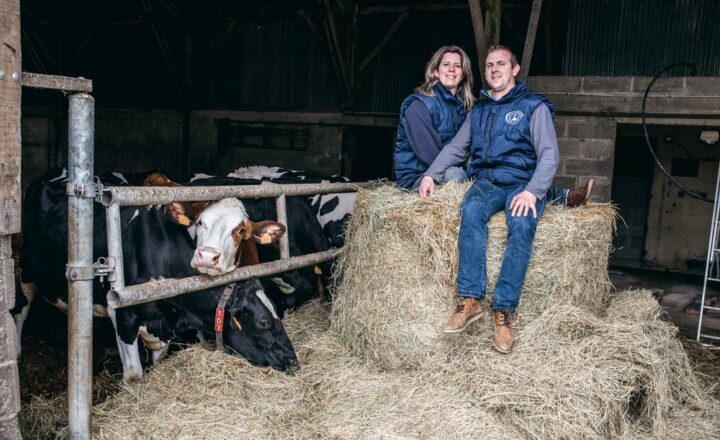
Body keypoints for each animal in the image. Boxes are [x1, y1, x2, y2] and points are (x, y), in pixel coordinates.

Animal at [18, 170, 298, 384]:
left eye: (240, 229)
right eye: (264, 322)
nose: (292, 360)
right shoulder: (122, 314)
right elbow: (134, 375)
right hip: (25, 272)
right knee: (21, 307)